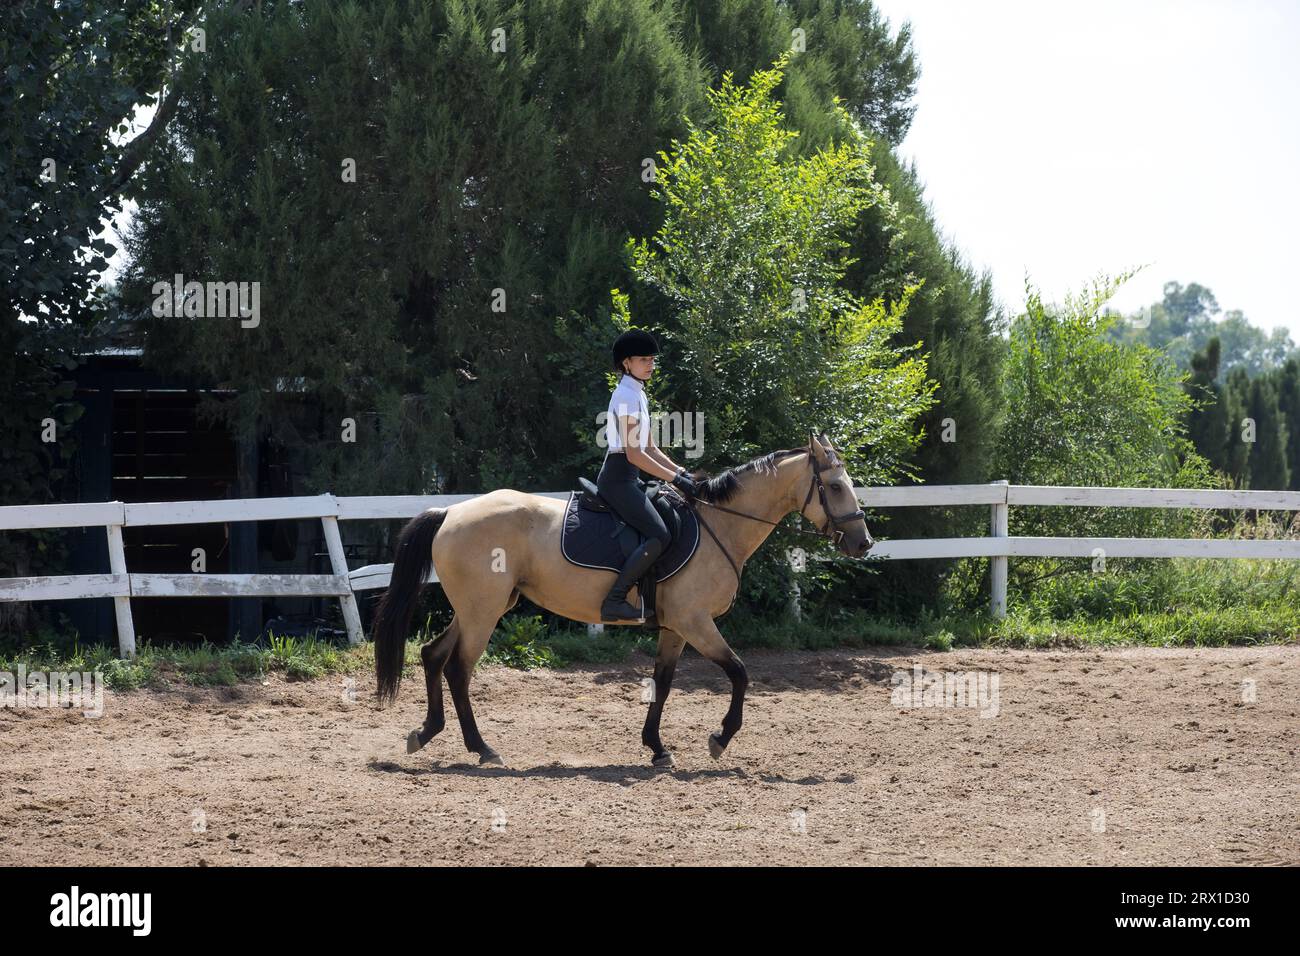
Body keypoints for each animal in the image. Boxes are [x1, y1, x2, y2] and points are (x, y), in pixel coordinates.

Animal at [369, 434, 873, 770]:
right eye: (835, 486)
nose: (863, 542)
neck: (720, 525)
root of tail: (451, 511)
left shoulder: (675, 627)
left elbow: (663, 683)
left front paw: (657, 748)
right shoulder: (695, 622)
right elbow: (739, 672)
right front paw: (720, 738)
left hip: (483, 607)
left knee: (432, 654)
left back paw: (426, 733)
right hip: (483, 612)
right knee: (458, 668)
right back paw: (482, 748)